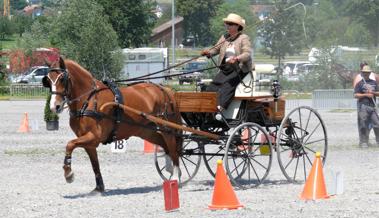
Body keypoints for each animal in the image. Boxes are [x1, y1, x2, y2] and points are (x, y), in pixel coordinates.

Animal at [43, 56, 183, 192]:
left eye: (62, 79)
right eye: (48, 80)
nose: (54, 107)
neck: (89, 100)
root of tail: (165, 89)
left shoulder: (94, 137)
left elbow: (70, 144)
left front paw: (68, 174)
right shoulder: (88, 141)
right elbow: (95, 164)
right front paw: (99, 187)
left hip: (166, 128)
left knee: (173, 148)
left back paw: (175, 177)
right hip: (147, 131)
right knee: (165, 145)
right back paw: (171, 170)